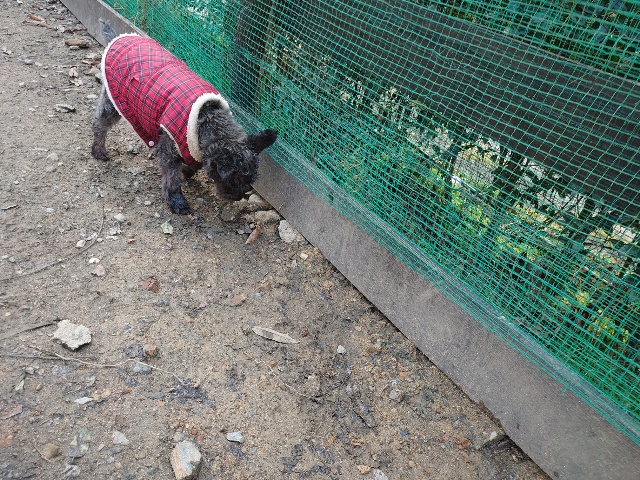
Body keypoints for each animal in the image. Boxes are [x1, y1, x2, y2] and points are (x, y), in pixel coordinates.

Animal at [91, 22, 277, 214]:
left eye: (249, 180)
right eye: (232, 179)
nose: (238, 196)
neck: (207, 120)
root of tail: (121, 38)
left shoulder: (192, 147)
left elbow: (193, 164)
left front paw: (187, 172)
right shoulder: (169, 148)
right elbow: (172, 178)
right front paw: (177, 201)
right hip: (113, 103)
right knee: (99, 124)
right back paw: (99, 151)